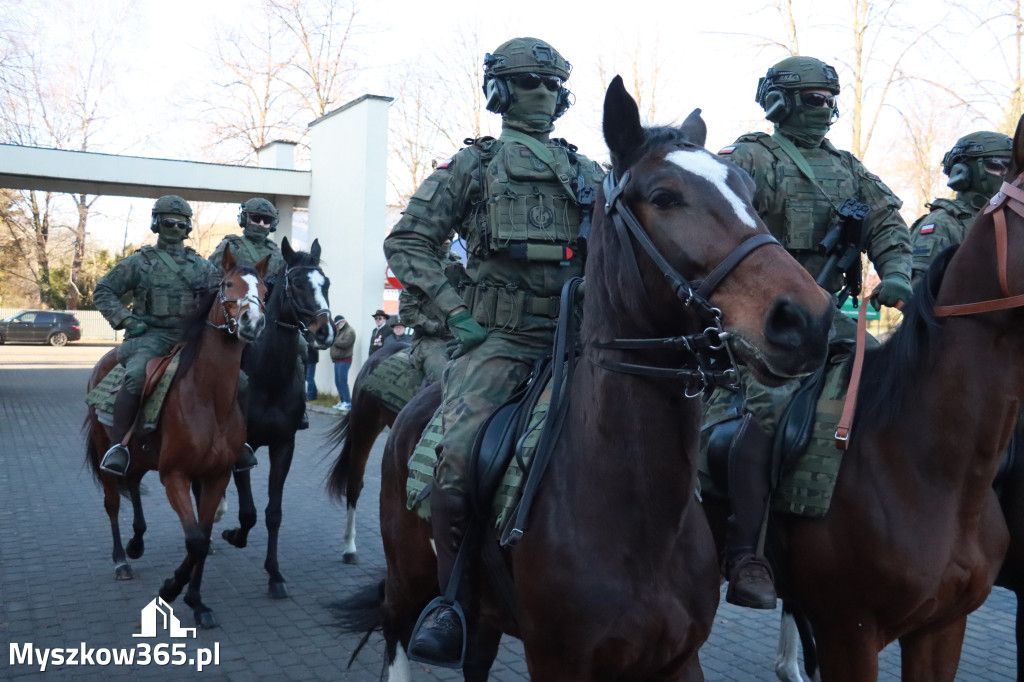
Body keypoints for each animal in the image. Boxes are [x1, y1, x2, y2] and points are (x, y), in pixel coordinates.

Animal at [85, 245, 268, 626]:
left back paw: (137, 542)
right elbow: (195, 540)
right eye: (227, 284)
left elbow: (204, 535)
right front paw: (171, 588)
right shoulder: (175, 476)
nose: (252, 323)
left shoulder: (216, 475)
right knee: (113, 502)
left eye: (265, 289)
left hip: (141, 455)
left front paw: (197, 601)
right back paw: (121, 559)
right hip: (104, 446)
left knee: (133, 482)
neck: (208, 397)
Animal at [220, 237, 331, 593]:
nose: (325, 332)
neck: (267, 377)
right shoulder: (242, 449)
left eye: (326, 283)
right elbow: (248, 513)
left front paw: (275, 574)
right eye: (297, 283)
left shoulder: (284, 446)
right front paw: (235, 535)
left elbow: (273, 513)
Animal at [372, 76, 835, 675]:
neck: (639, 519)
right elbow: (407, 239)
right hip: (406, 583)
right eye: (663, 196)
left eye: (750, 193)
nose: (807, 319)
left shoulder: (680, 660)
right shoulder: (558, 662)